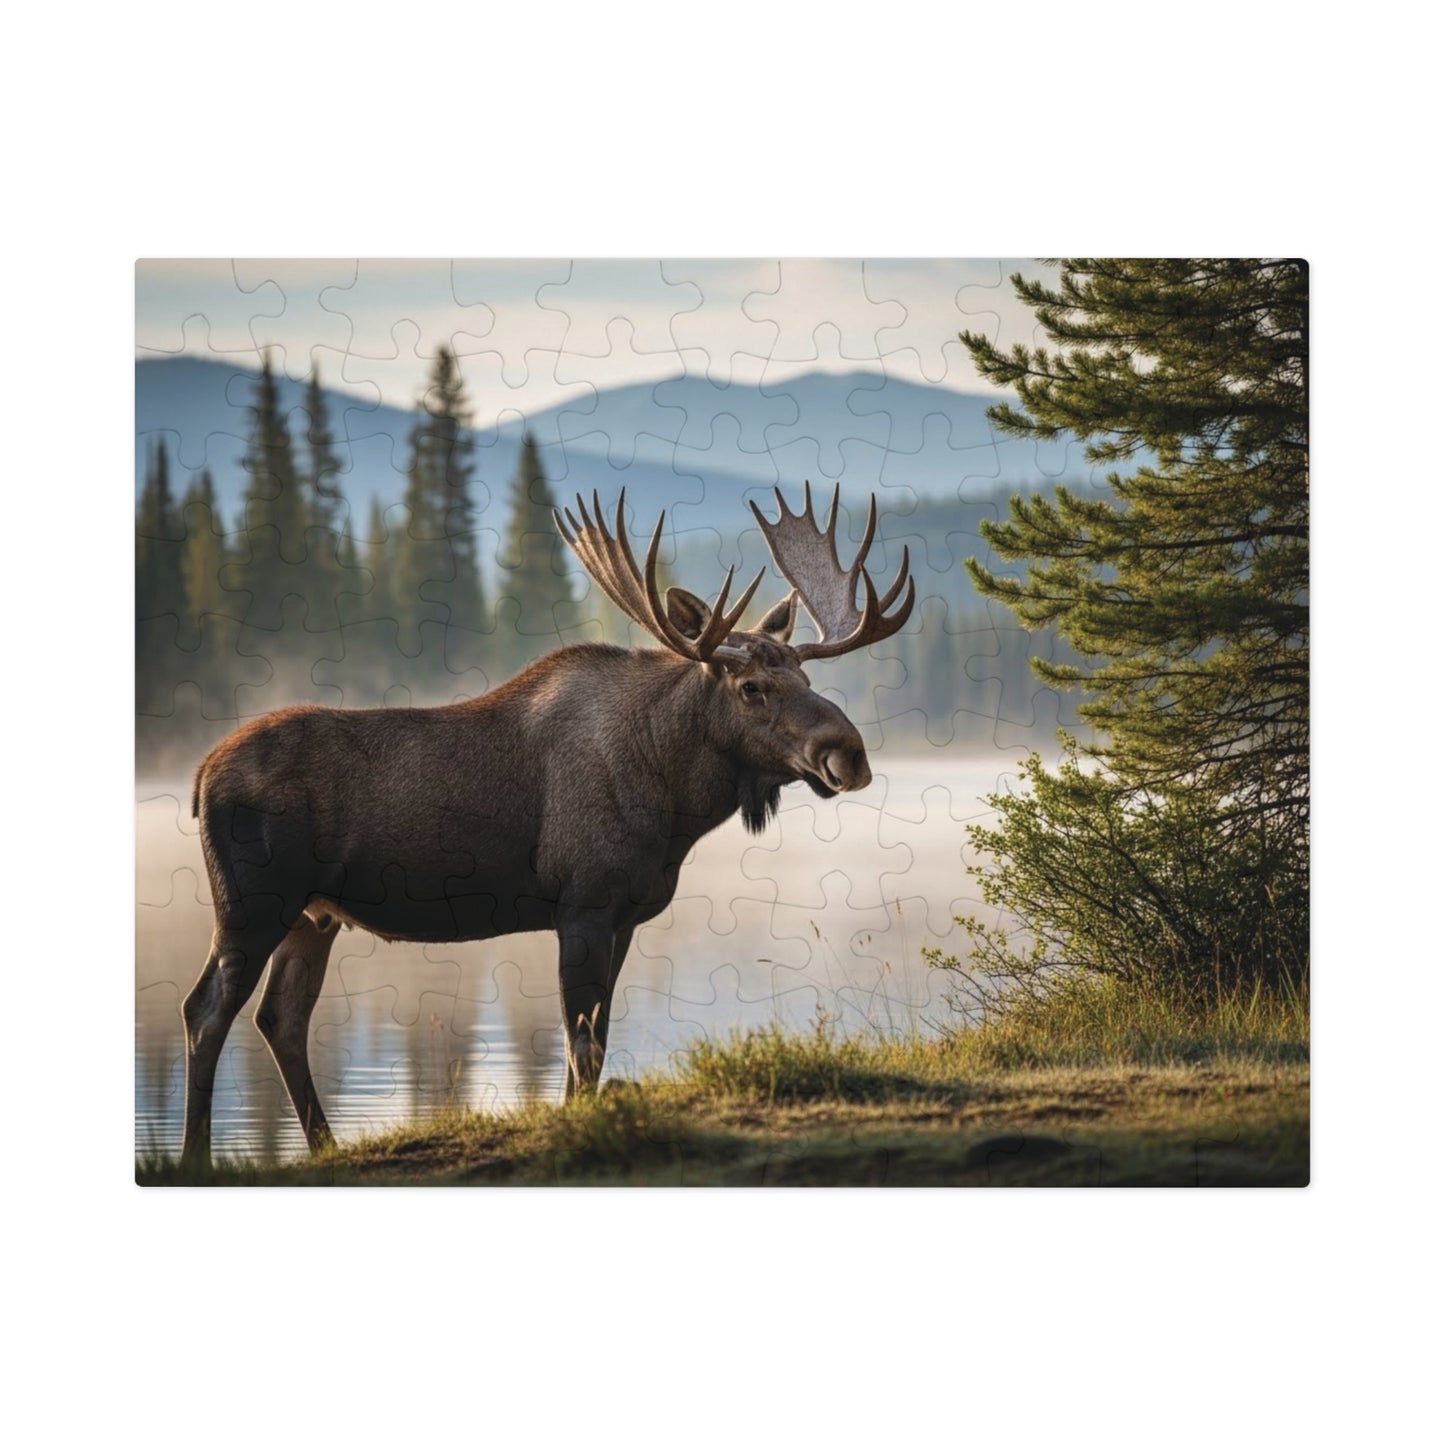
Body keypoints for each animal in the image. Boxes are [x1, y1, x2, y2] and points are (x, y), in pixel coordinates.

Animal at [179, 484, 914, 1164]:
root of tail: (200, 773)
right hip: (251, 904)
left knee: (281, 1017)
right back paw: (195, 1156)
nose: (847, 753)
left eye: (804, 677)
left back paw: (325, 1144)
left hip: (313, 914)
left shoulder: (623, 915)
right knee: (206, 1010)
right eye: (751, 687)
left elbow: (599, 1038)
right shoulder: (583, 903)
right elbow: (580, 1040)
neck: (674, 800)